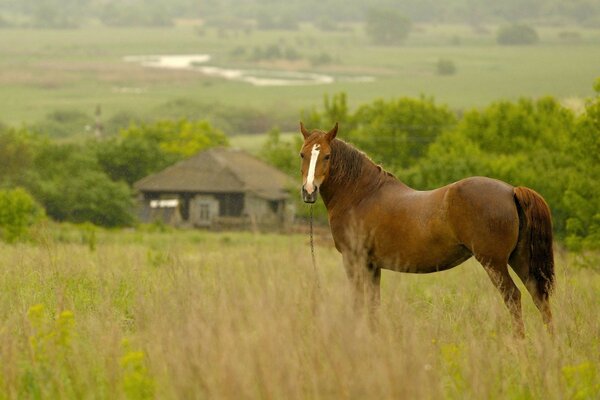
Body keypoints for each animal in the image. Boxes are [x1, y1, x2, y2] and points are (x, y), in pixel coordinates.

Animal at [298, 122, 556, 338]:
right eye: (303, 154)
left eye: (327, 156)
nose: (309, 191)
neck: (361, 194)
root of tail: (511, 191)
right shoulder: (372, 265)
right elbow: (373, 303)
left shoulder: (355, 260)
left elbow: (359, 302)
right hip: (519, 258)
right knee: (539, 297)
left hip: (494, 263)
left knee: (513, 297)